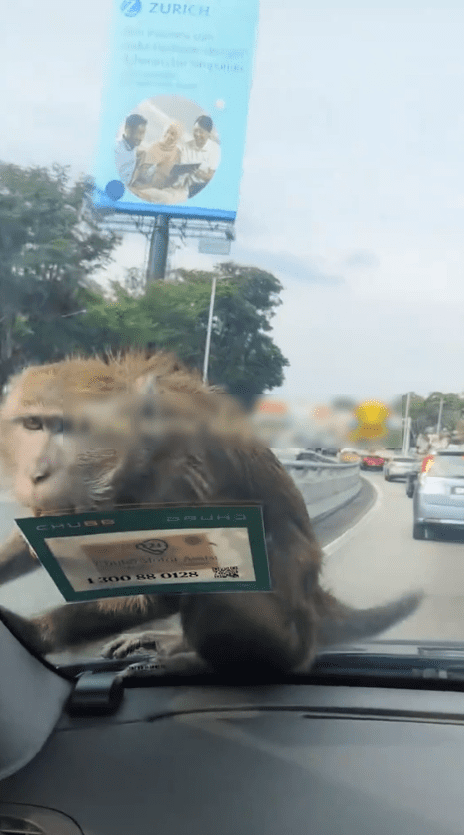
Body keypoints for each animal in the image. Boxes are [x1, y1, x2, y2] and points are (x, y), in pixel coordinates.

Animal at [0, 351, 423, 675]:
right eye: (33, 424)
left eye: (76, 428)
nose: (37, 473)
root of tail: (313, 609)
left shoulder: (177, 488)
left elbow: (173, 584)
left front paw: (34, 631)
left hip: (284, 637)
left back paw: (199, 662)